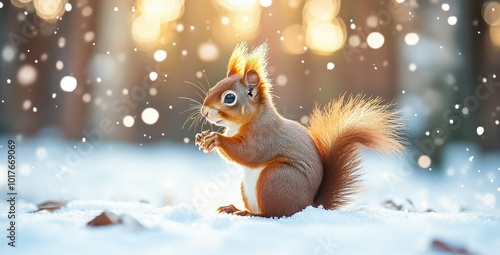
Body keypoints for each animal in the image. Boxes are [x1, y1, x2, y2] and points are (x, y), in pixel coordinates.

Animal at [193, 42, 404, 218]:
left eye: (229, 98)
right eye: (213, 88)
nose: (204, 111)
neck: (243, 123)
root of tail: (308, 205)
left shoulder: (264, 135)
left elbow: (248, 153)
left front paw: (216, 139)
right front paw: (202, 136)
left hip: (275, 179)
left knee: (275, 214)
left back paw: (249, 213)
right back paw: (233, 208)